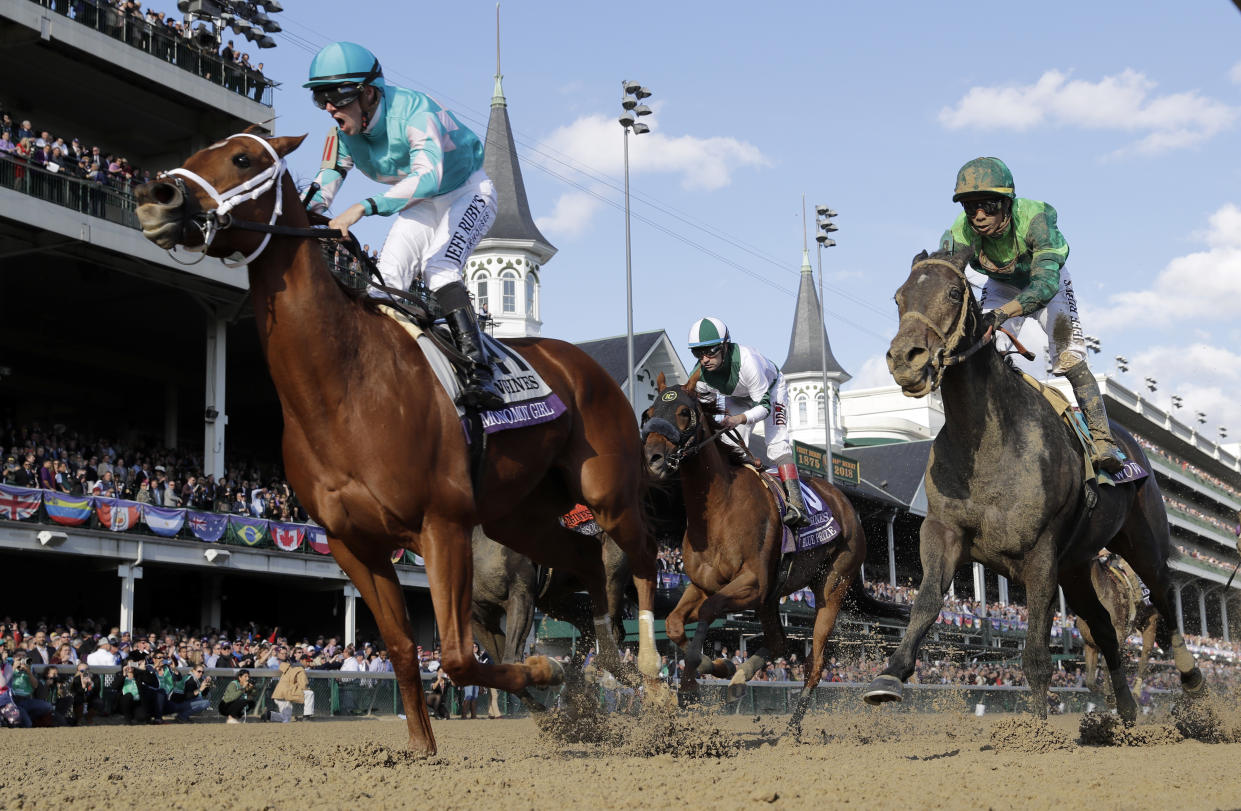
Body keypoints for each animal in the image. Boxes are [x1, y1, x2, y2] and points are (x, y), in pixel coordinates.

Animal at [471, 523, 635, 714]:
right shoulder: (482, 619)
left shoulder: (521, 593)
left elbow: (510, 661)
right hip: (554, 598)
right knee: (590, 625)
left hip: (609, 570)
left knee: (610, 633)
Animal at [640, 372, 903, 734]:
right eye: (650, 412)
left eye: (682, 411)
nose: (652, 458)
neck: (720, 507)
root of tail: (845, 502)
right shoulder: (702, 584)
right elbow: (676, 623)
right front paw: (720, 667)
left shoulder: (752, 583)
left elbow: (709, 610)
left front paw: (693, 685)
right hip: (773, 595)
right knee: (778, 641)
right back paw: (738, 680)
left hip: (832, 586)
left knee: (814, 662)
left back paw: (791, 726)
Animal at [863, 248, 1201, 724]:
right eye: (899, 297)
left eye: (953, 293)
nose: (904, 359)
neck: (987, 442)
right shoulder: (943, 530)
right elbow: (926, 602)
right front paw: (889, 675)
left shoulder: (1041, 553)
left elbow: (1038, 657)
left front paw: (1038, 729)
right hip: (1077, 566)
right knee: (1104, 630)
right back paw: (1127, 708)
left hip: (1143, 542)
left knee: (1166, 599)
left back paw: (1190, 677)